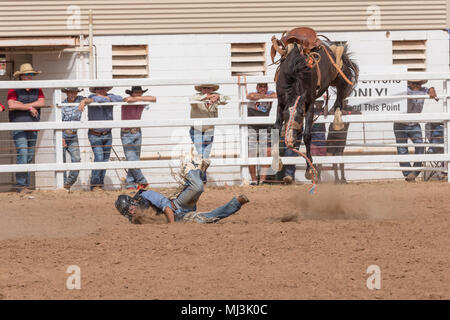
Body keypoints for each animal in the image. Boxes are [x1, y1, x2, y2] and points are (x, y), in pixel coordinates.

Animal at [270, 26, 358, 182]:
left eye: (300, 115)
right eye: (286, 114)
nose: (290, 139)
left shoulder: (309, 104)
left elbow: (307, 135)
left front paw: (309, 169)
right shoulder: (281, 103)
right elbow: (276, 128)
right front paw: (276, 162)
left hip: (339, 76)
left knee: (342, 92)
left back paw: (337, 113)